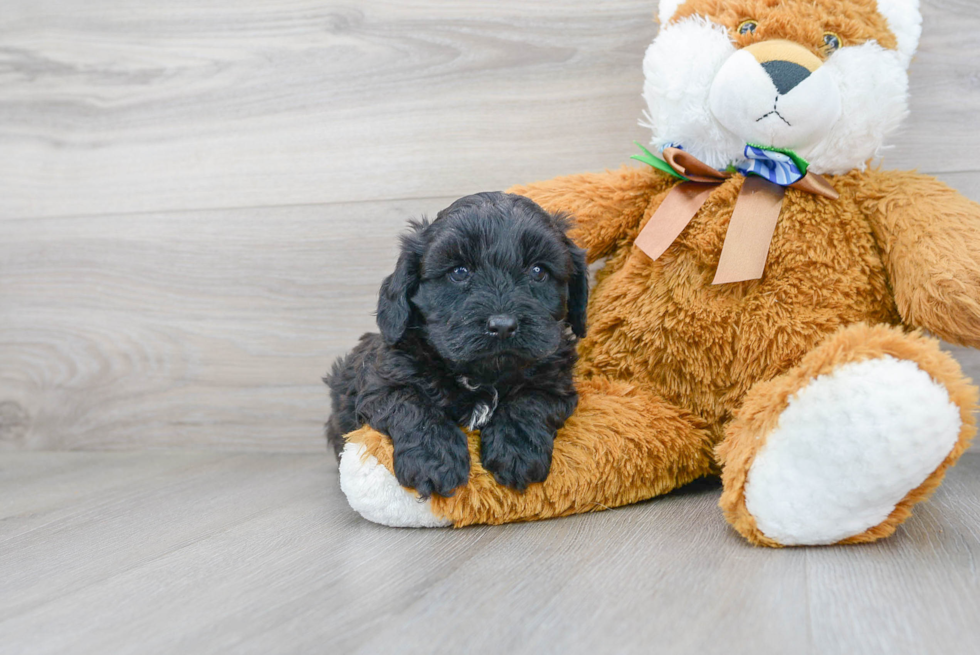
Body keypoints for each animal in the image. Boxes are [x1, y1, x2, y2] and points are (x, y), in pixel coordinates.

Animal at [326, 191, 584, 498]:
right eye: (459, 272)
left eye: (538, 271)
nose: (503, 325)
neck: (482, 375)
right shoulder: (381, 381)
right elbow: (411, 402)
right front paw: (435, 460)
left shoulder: (556, 381)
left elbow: (531, 400)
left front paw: (517, 451)